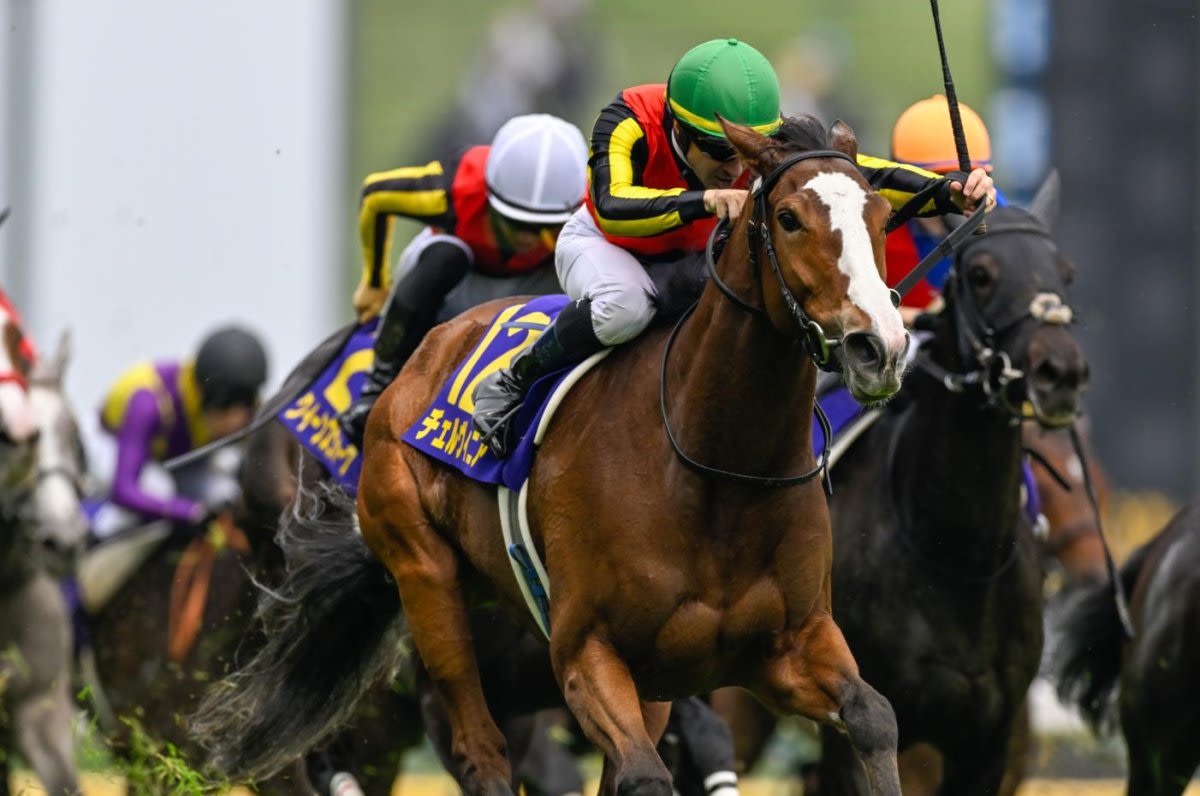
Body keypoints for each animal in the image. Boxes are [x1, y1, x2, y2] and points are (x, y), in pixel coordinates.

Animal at [816, 178, 1089, 792]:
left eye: (1066, 273)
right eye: (982, 273)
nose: (1060, 372)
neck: (951, 553)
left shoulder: (988, 739)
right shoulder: (857, 728)